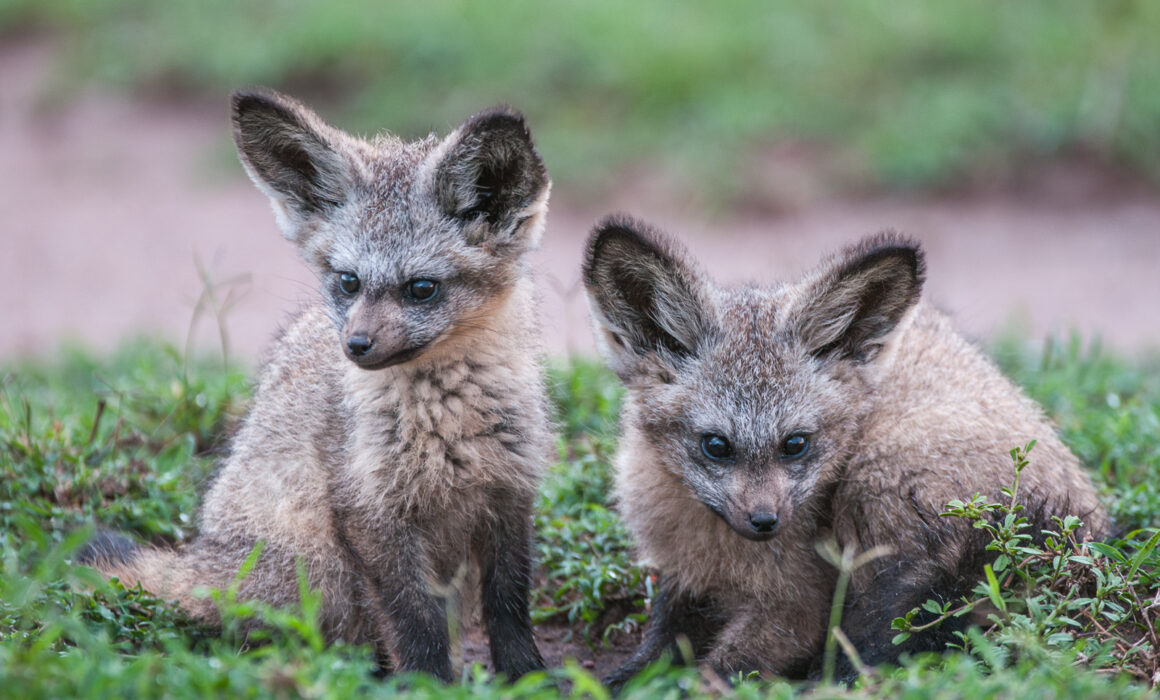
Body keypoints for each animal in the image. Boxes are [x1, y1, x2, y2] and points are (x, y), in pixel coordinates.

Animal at [78, 88, 554, 681]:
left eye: (421, 288)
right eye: (348, 282)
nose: (356, 346)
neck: (447, 421)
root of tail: (202, 559)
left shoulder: (510, 493)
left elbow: (509, 603)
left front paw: (528, 676)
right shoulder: (370, 512)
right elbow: (413, 617)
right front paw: (430, 685)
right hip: (322, 567)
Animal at [582, 216, 1110, 686]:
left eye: (795, 444)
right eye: (716, 446)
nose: (765, 521)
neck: (714, 547)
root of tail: (1083, 522)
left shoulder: (798, 607)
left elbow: (713, 674)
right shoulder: (681, 579)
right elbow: (653, 653)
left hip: (877, 486)